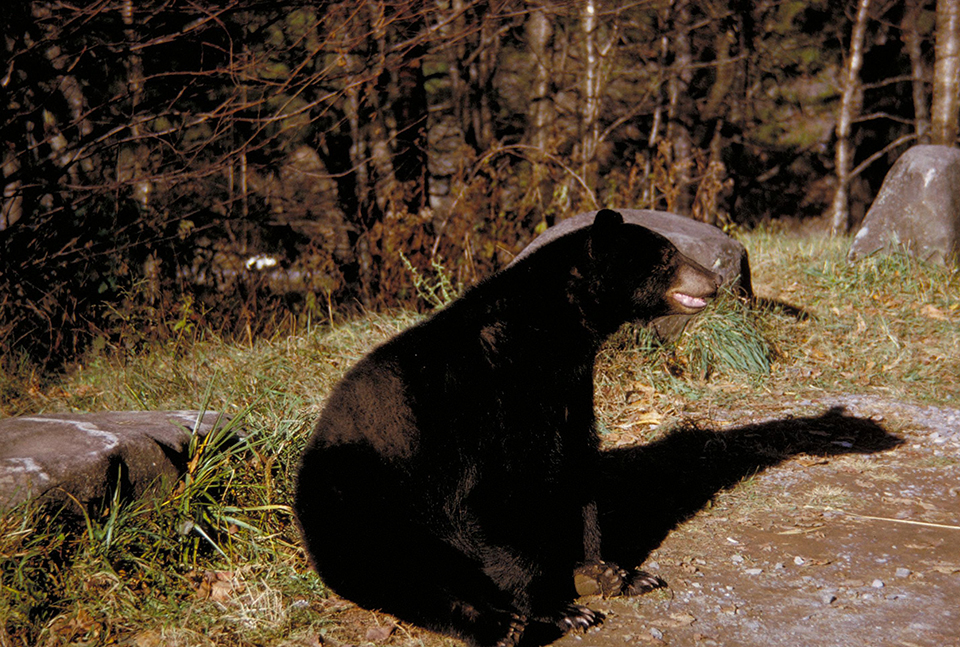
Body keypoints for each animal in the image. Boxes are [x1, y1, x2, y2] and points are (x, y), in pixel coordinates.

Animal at [294, 209, 720, 647]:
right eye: (668, 256)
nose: (715, 279)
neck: (548, 334)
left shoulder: (569, 391)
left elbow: (575, 471)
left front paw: (609, 570)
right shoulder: (485, 401)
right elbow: (493, 496)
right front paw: (559, 607)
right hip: (363, 502)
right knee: (403, 574)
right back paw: (500, 626)